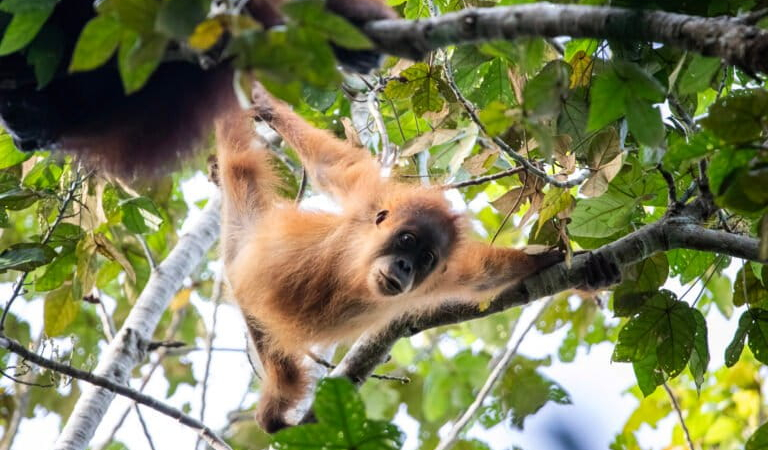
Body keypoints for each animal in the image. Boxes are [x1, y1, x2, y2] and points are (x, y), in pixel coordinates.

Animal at [215, 84, 622, 433]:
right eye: (406, 240)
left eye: (425, 257)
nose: (405, 266)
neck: (354, 271)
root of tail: (249, 233)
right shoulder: (368, 201)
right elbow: (329, 165)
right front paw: (265, 103)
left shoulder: (442, 275)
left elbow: (486, 275)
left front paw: (573, 264)